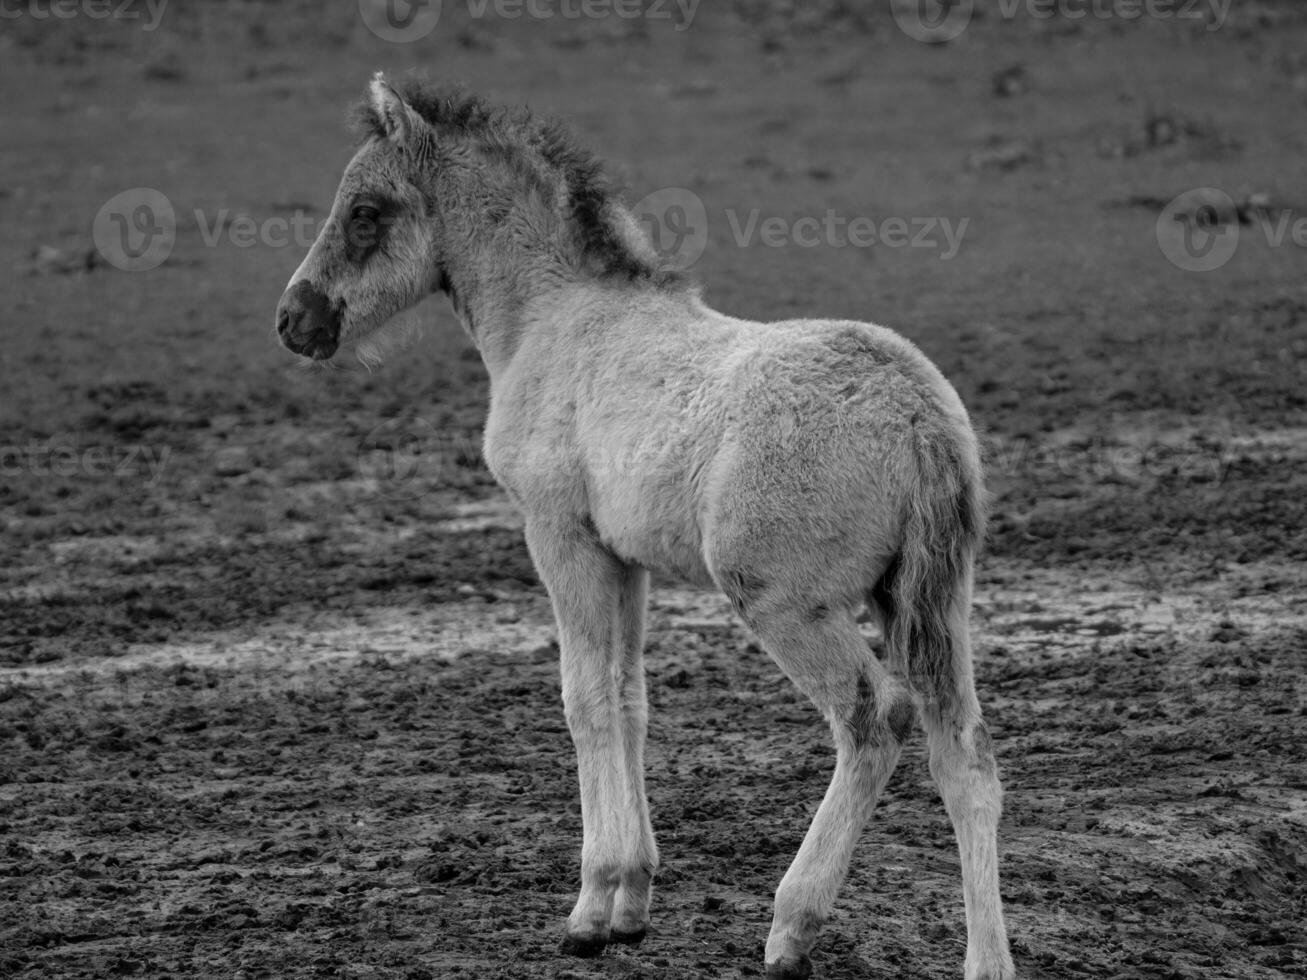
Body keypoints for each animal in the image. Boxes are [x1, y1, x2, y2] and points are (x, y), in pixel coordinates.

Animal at [273, 76, 1009, 980]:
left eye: (366, 211)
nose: (294, 319)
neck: (550, 318)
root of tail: (916, 416)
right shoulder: (623, 558)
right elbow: (629, 698)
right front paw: (631, 903)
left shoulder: (557, 534)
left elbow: (583, 697)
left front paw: (593, 905)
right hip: (927, 598)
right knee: (966, 754)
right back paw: (986, 960)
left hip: (783, 602)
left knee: (875, 718)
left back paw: (792, 925)